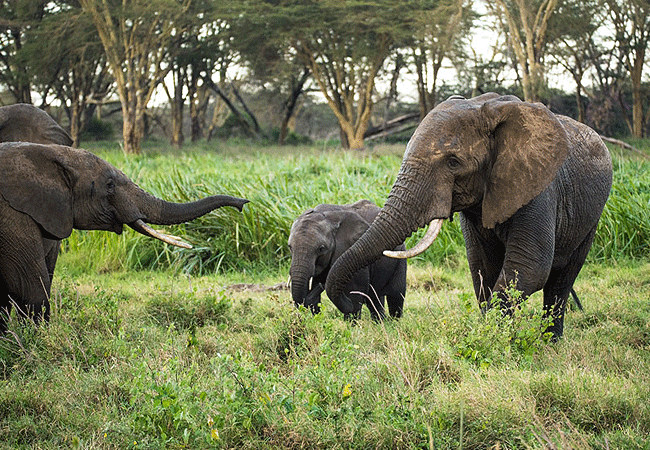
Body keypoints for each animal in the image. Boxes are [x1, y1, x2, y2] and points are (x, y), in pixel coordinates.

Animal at [326, 93, 612, 340]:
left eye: (453, 162)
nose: (351, 307)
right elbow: (482, 267)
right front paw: (494, 334)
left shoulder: (539, 187)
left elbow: (529, 265)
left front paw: (491, 338)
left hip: (591, 219)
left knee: (562, 279)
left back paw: (551, 342)